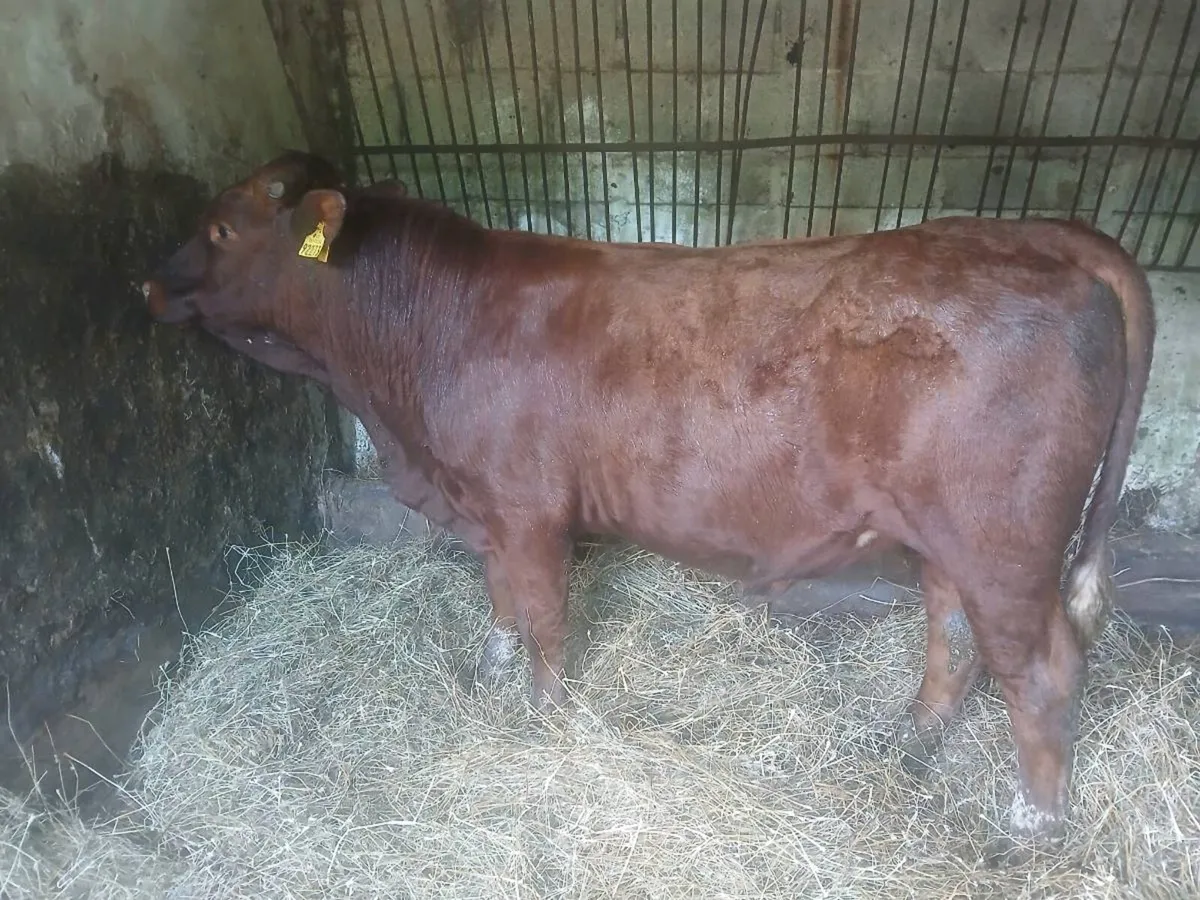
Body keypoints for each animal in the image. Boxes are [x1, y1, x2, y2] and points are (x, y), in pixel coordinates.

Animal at [142, 150, 1154, 861]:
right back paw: (908, 741)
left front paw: (547, 719)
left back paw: (1026, 833)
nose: (149, 280)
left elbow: (546, 616)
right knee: (953, 634)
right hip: (948, 536)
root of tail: (1039, 234)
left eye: (222, 230)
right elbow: (499, 596)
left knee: (1041, 671)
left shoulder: (528, 506)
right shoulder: (485, 503)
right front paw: (489, 669)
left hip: (1003, 540)